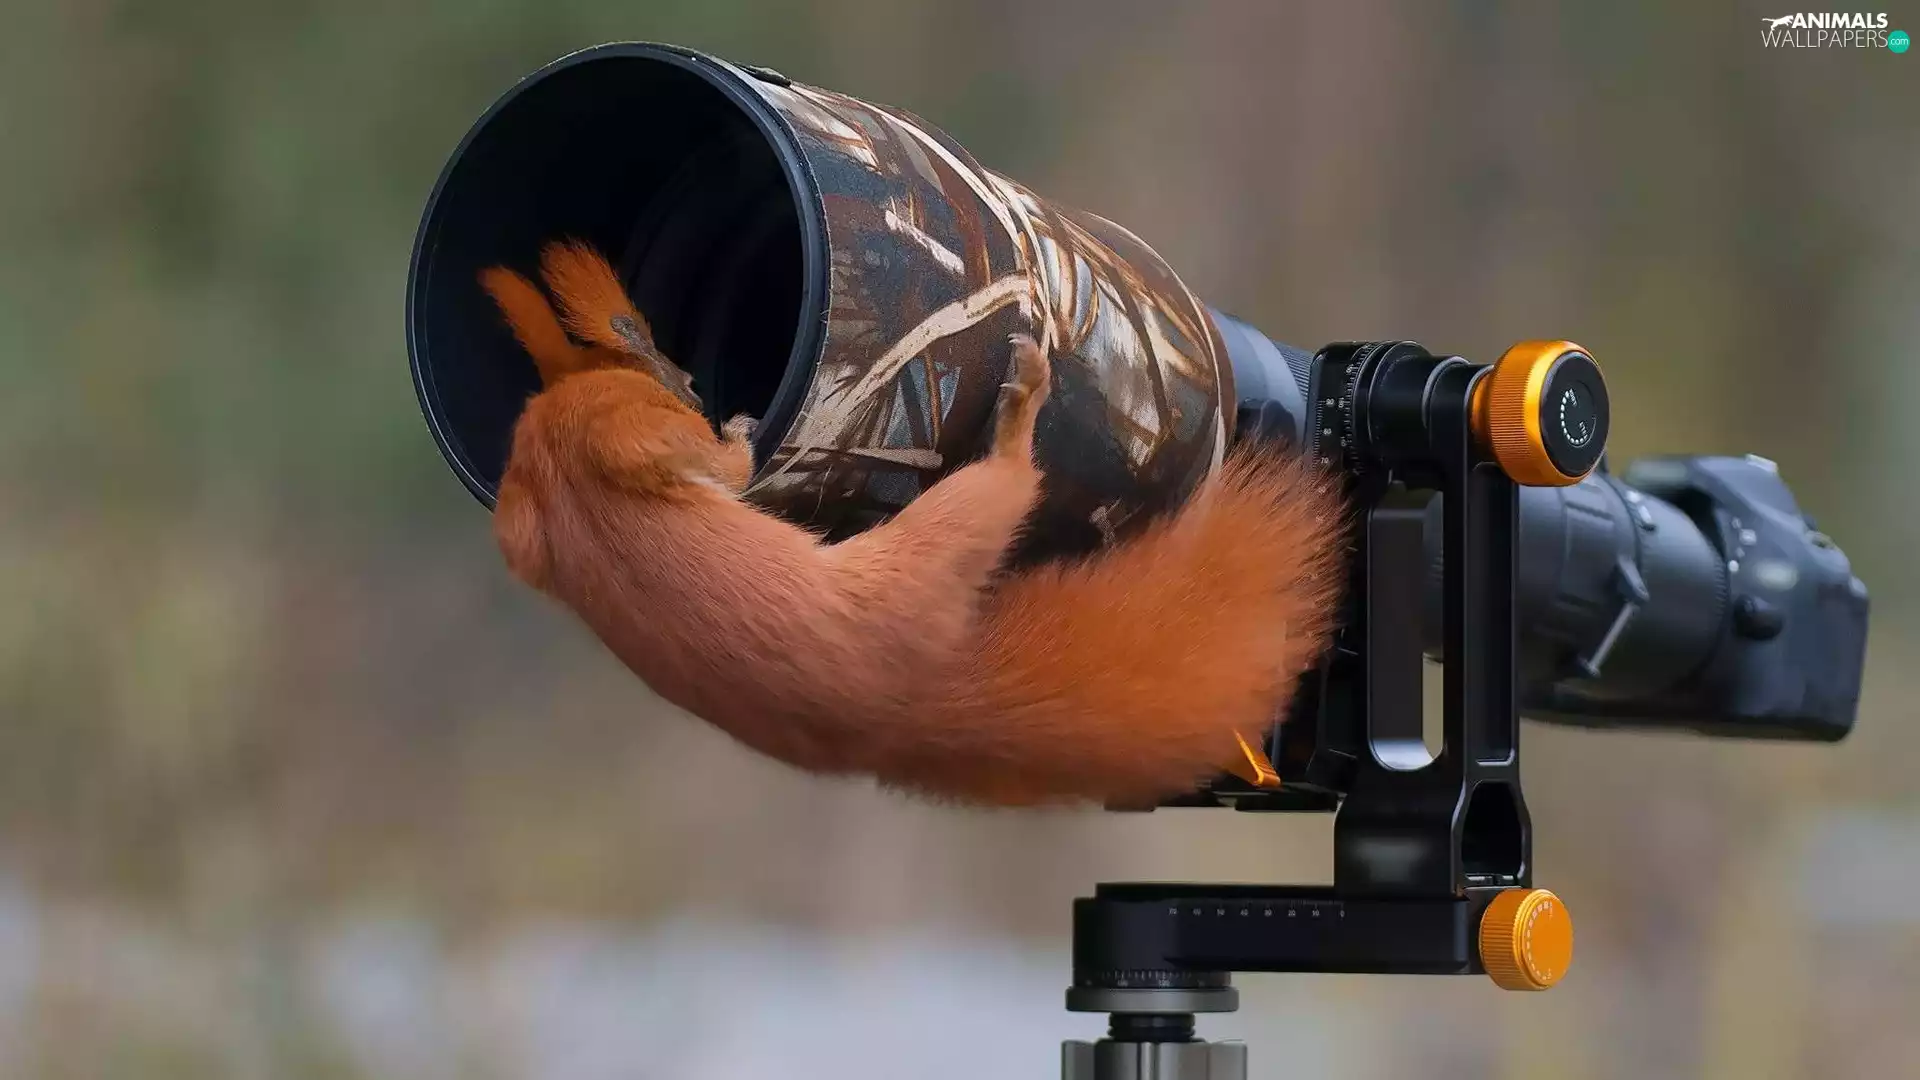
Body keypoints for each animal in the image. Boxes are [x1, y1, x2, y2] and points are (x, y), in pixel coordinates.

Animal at [477, 240, 1346, 808]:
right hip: (941, 533)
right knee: (1009, 480)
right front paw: (741, 432)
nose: (691, 380)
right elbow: (723, 467)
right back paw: (1021, 403)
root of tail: (909, 705)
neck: (564, 485)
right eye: (634, 358)